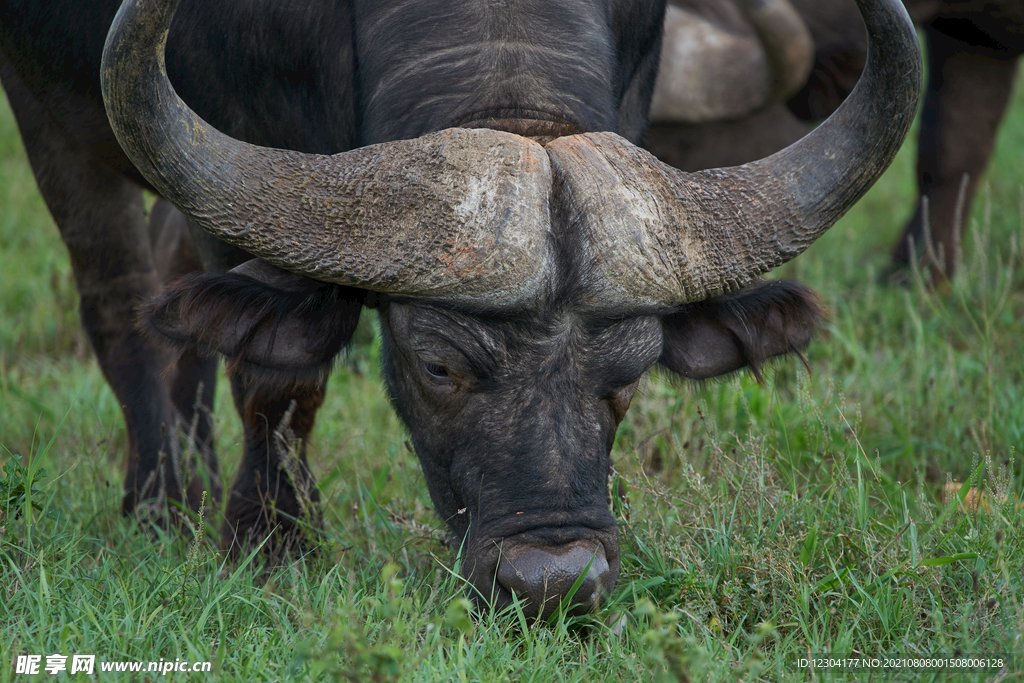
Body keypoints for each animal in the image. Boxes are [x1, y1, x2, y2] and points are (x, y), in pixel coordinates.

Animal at [0, 0, 921, 618]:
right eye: (438, 364)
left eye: (631, 374)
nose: (551, 583)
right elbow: (278, 379)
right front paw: (272, 545)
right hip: (54, 123)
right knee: (122, 304)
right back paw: (160, 502)